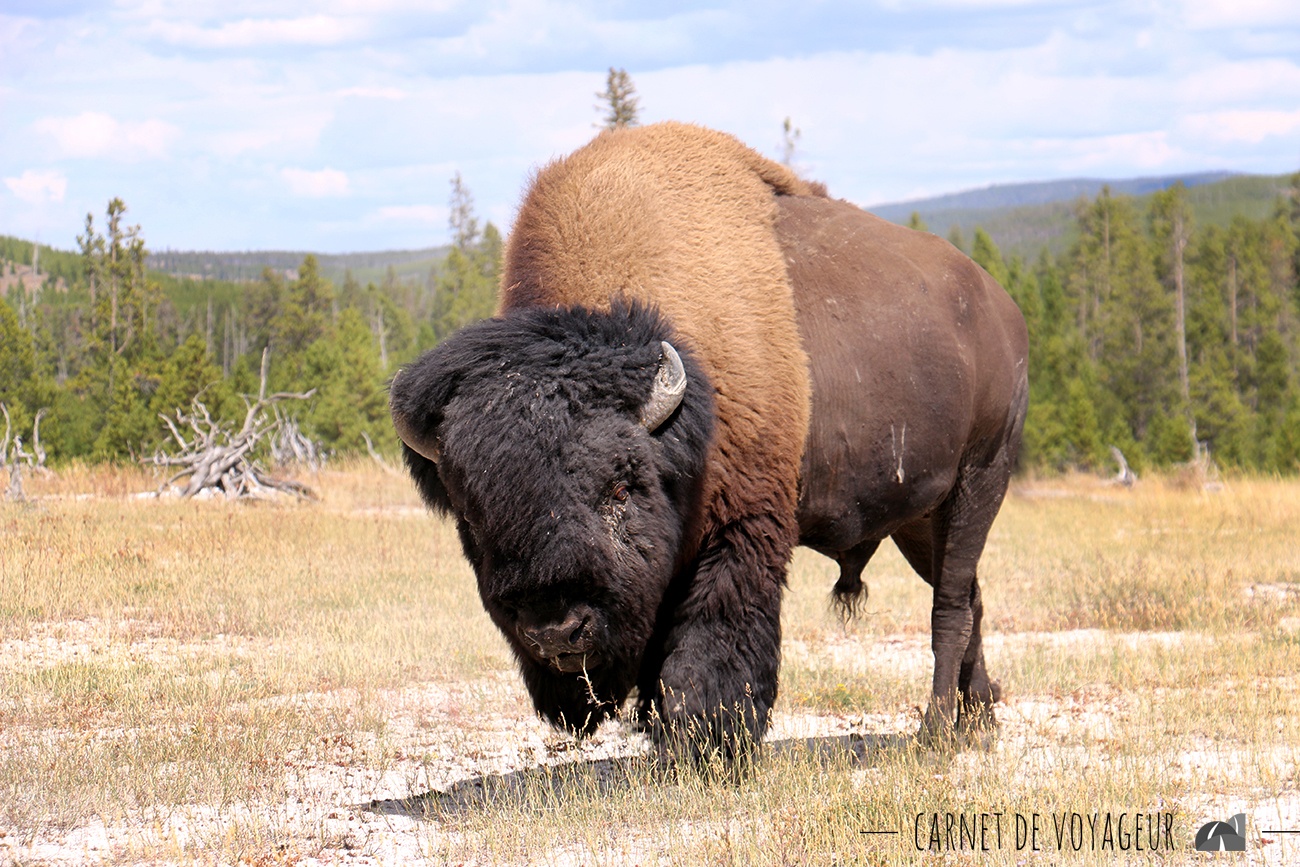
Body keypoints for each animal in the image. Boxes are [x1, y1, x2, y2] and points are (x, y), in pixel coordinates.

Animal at [390, 122, 1028, 756]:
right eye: (472, 519)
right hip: (920, 518)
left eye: (619, 489)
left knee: (949, 605)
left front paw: (705, 744)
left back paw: (937, 730)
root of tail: (1002, 308)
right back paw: (980, 718)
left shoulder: (739, 528)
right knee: (970, 595)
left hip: (980, 479)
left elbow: (706, 646)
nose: (556, 632)